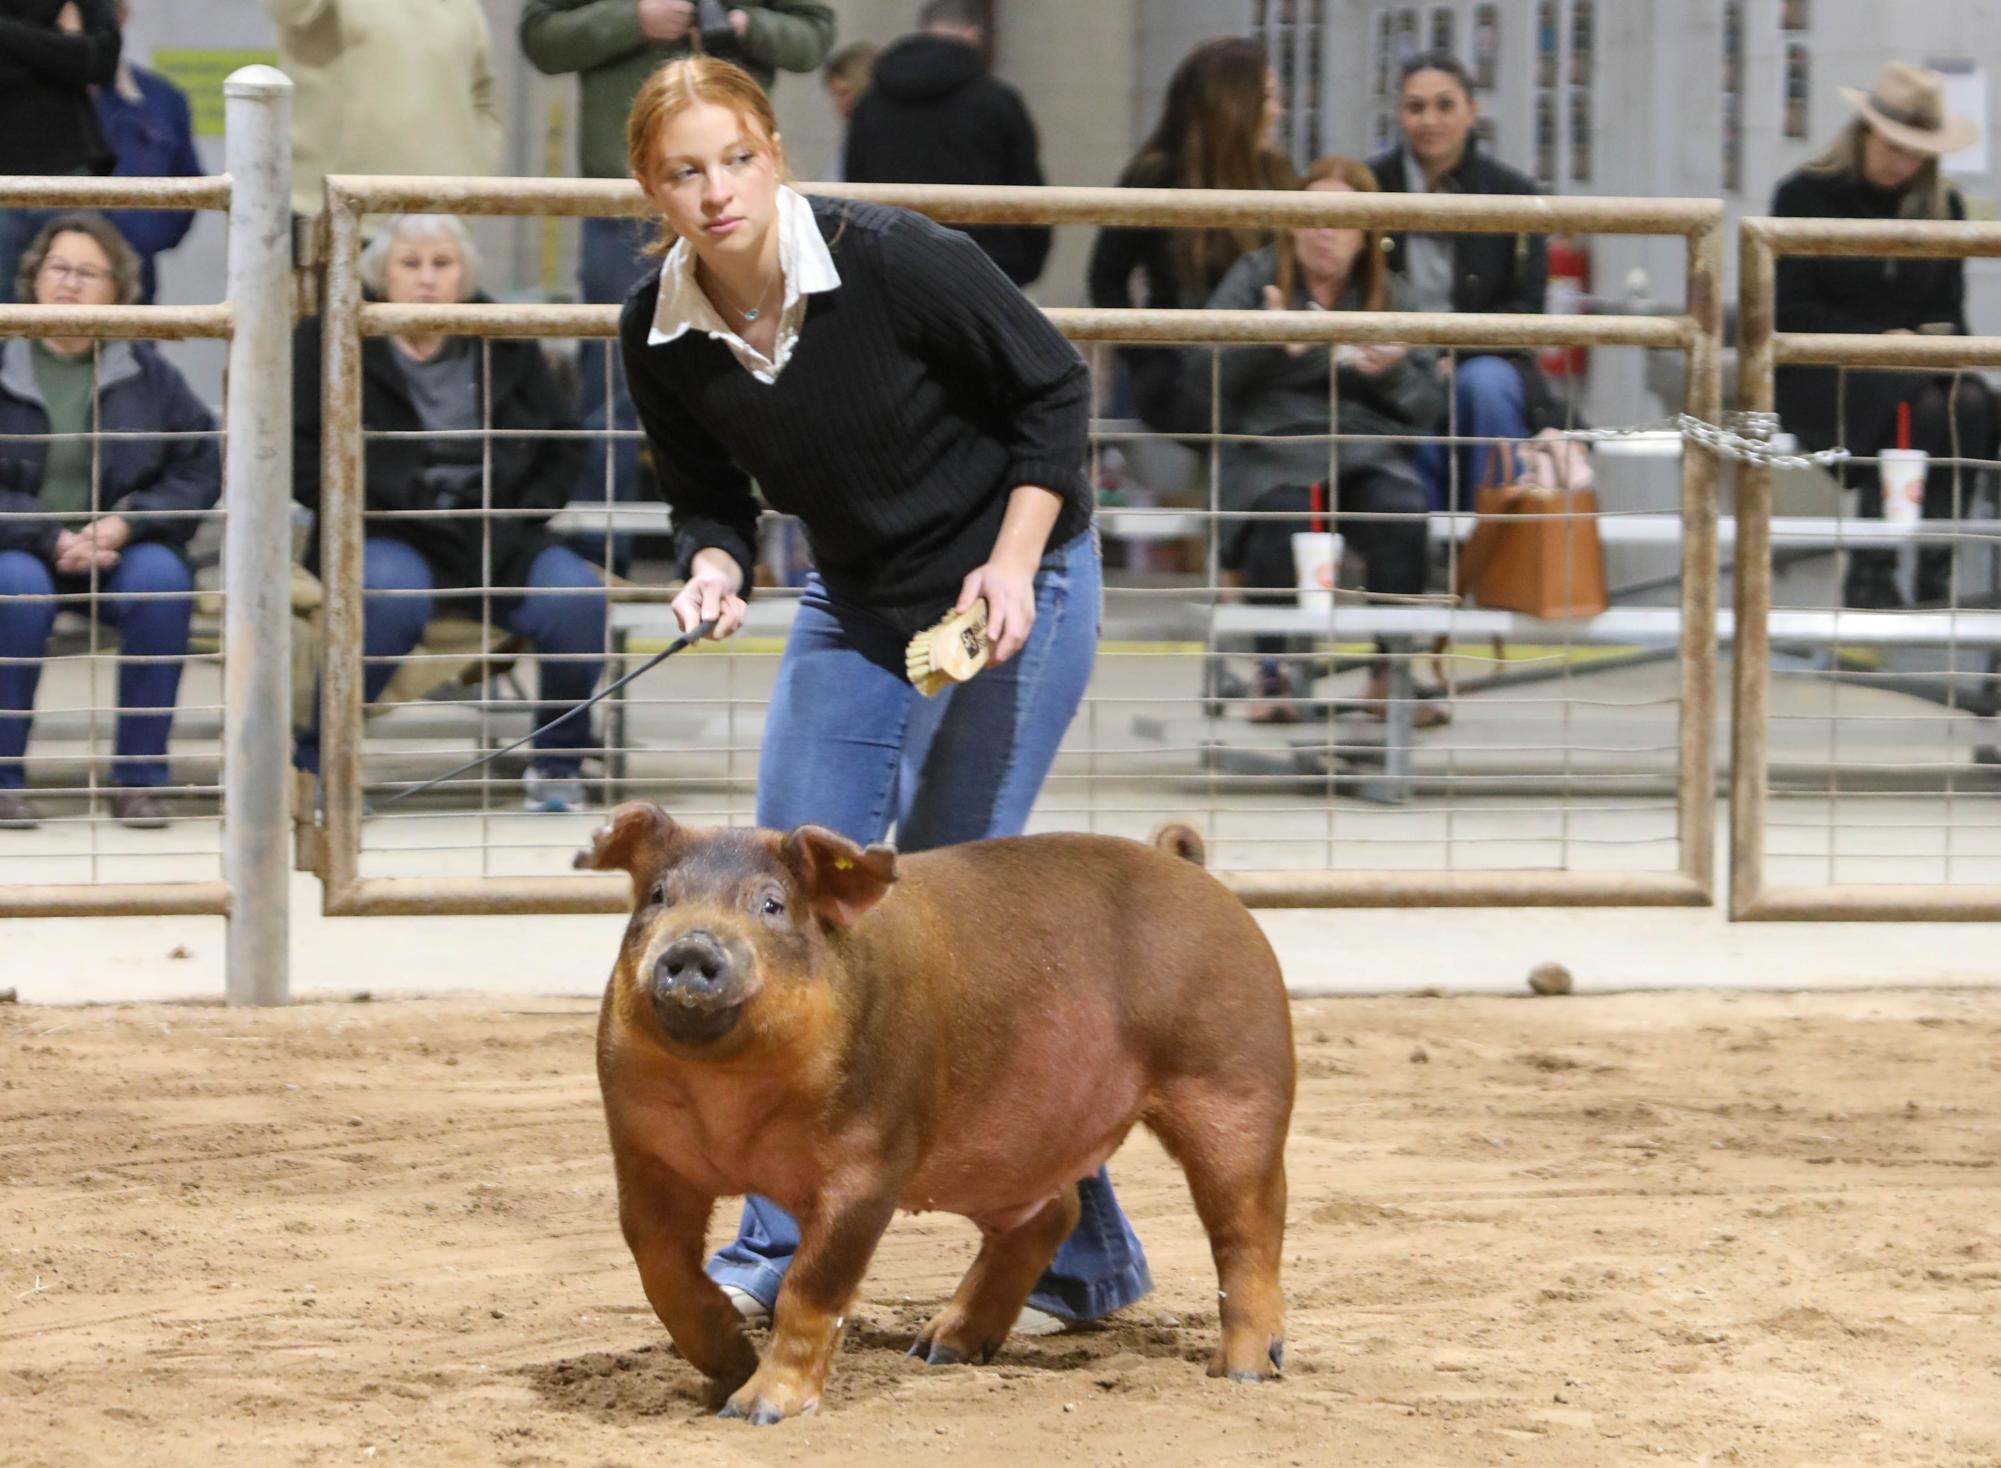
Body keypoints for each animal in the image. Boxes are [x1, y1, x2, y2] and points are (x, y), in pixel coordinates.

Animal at [577, 802, 1295, 1424]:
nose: (693, 947)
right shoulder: (643, 1153)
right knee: (1049, 1217)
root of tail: (1188, 867)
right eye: (658, 897)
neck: (730, 1102)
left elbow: (811, 1288)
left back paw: (1242, 1372)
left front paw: (756, 1412)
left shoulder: (871, 1160)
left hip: (1235, 1080)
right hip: (1010, 1149)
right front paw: (730, 1368)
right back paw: (936, 1350)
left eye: (772, 904)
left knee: (1248, 1228)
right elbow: (660, 1269)